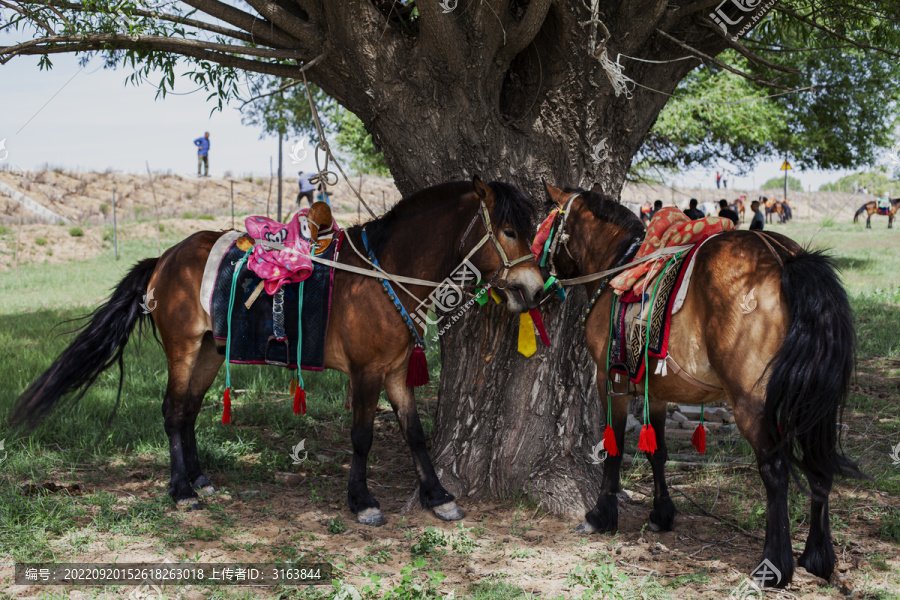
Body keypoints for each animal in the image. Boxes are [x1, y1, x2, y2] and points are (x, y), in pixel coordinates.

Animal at [14, 177, 544, 524]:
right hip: (183, 350)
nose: (534, 289)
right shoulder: (367, 372)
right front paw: (363, 501)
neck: (384, 274)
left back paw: (200, 479)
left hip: (209, 353)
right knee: (171, 410)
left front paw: (437, 496)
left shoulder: (395, 372)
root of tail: (165, 258)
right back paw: (182, 490)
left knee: (187, 412)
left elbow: (415, 435)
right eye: (509, 230)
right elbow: (362, 437)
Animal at [540, 184, 856, 584]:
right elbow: (657, 450)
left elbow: (614, 447)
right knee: (819, 466)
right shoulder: (658, 392)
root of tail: (785, 258)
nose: (533, 279)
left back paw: (774, 564)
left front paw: (601, 515)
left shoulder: (610, 380)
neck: (620, 265)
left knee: (775, 471)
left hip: (752, 403)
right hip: (811, 403)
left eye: (544, 222)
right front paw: (662, 514)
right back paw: (817, 557)